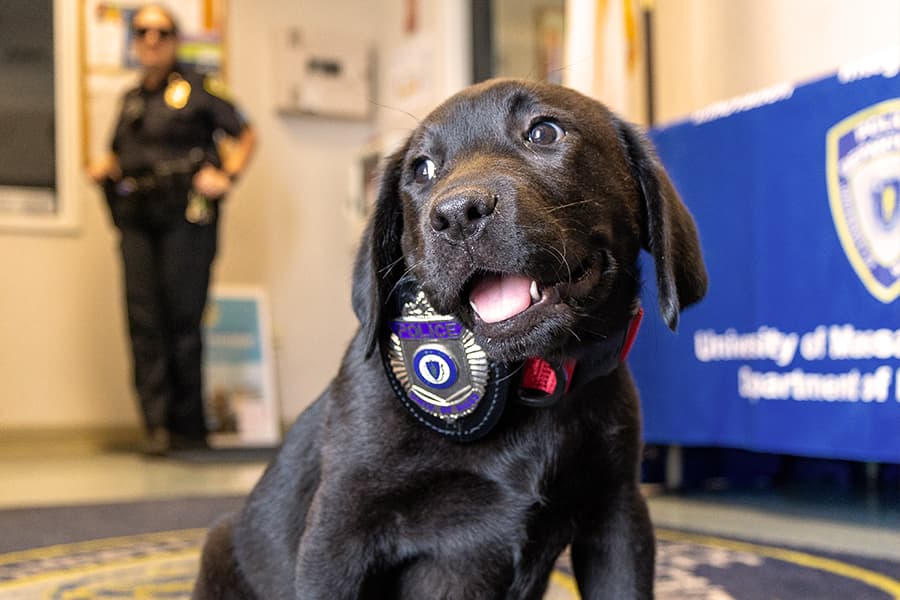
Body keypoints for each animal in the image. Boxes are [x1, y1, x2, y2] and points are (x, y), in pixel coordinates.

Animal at [193, 79, 708, 600]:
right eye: (422, 169)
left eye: (544, 132)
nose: (458, 215)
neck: (529, 379)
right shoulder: (336, 535)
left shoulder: (618, 517)